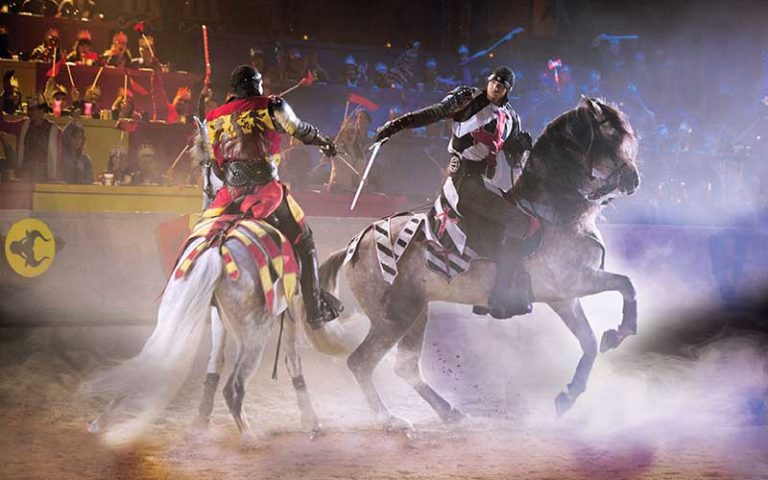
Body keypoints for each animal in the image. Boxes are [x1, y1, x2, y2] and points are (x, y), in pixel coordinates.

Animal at [306, 97, 640, 432]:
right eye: (612, 134)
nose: (633, 180)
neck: (553, 210)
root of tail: (354, 245)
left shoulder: (564, 298)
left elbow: (590, 341)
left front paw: (568, 396)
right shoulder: (574, 281)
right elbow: (626, 284)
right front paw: (622, 331)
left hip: (416, 312)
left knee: (405, 366)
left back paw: (448, 412)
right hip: (395, 317)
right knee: (361, 362)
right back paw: (391, 419)